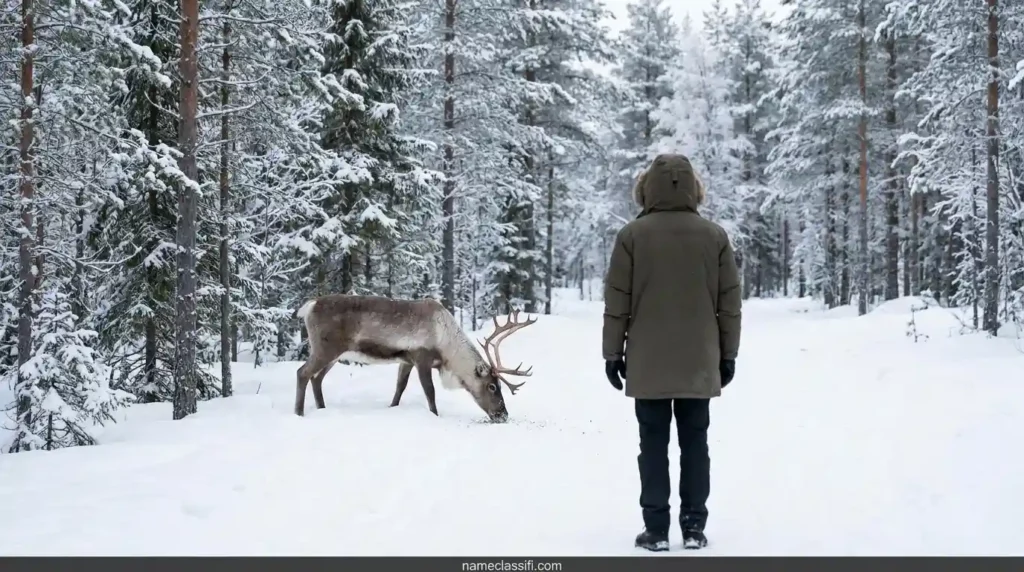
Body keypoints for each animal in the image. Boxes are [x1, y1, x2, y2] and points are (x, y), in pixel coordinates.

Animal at [293, 293, 537, 423]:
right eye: (492, 386)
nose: (503, 415)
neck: (446, 345)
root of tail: (309, 307)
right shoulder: (422, 358)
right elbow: (430, 392)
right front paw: (435, 415)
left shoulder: (406, 361)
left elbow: (399, 389)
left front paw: (392, 408)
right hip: (326, 349)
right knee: (303, 373)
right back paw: (299, 413)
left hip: (335, 354)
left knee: (316, 378)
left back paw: (322, 409)